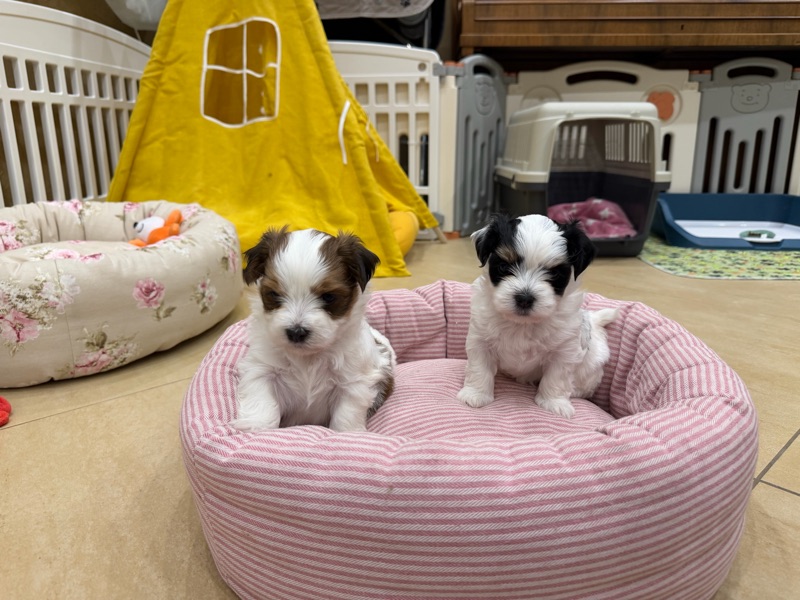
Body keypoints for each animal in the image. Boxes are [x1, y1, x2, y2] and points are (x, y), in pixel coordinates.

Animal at [231, 227, 396, 432]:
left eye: (328, 297)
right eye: (274, 294)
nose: (296, 332)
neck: (307, 357)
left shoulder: (353, 381)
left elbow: (346, 415)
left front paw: (347, 433)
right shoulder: (262, 369)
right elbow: (262, 401)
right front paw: (256, 426)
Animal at [457, 213, 618, 418]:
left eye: (555, 273)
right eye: (503, 266)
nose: (524, 298)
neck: (523, 323)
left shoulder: (565, 350)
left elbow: (557, 376)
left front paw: (554, 403)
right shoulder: (480, 339)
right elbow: (479, 367)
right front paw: (475, 394)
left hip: (592, 364)